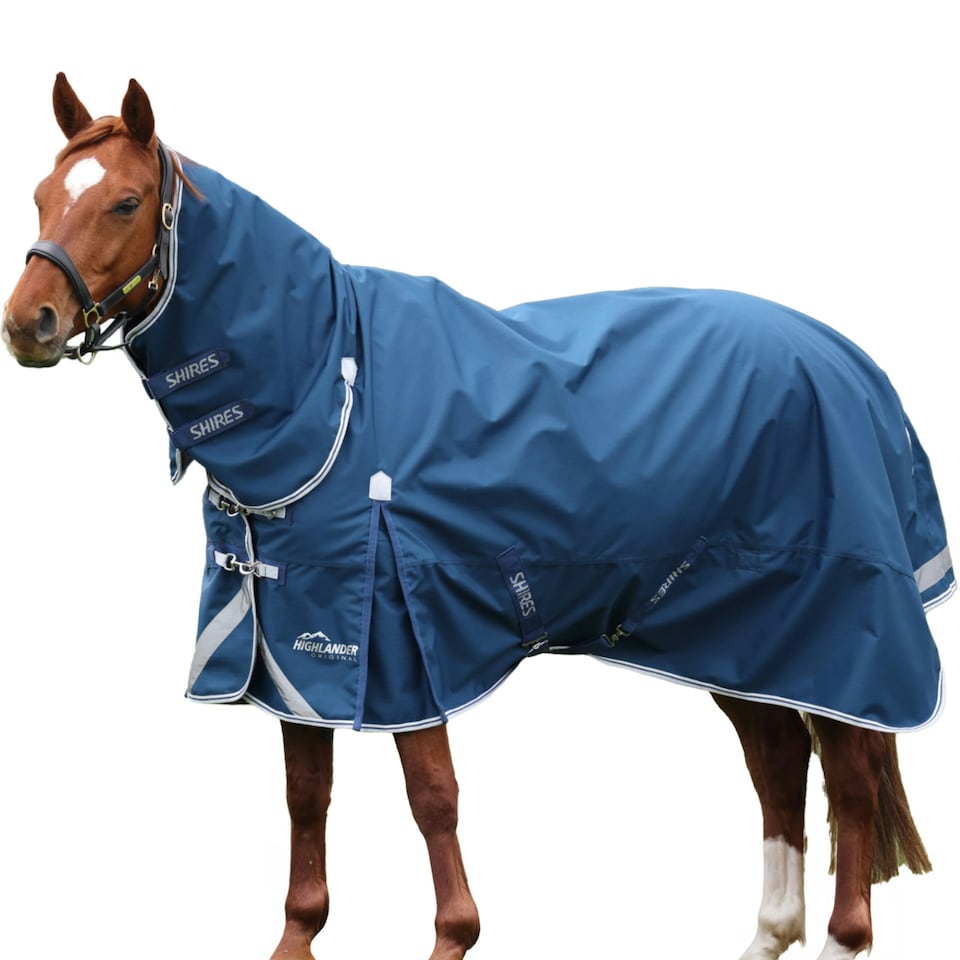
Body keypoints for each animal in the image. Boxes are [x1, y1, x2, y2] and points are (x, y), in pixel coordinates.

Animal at [3, 74, 953, 960]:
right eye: (43, 196)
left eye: (125, 200)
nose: (27, 323)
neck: (325, 384)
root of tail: (848, 361)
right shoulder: (293, 650)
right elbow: (306, 798)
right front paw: (299, 934)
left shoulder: (402, 644)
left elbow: (433, 798)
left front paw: (453, 935)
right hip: (739, 636)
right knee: (778, 759)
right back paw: (767, 933)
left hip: (838, 630)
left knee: (850, 777)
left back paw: (840, 935)